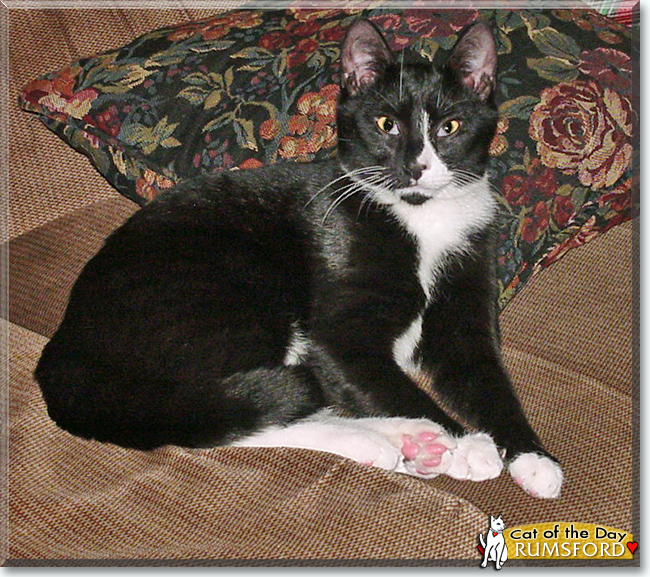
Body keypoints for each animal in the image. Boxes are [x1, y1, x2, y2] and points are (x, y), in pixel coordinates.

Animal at [35, 18, 560, 496]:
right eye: (386, 124)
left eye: (450, 126)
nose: (416, 166)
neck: (421, 219)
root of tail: (64, 349)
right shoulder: (336, 334)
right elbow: (387, 383)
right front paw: (467, 444)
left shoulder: (467, 294)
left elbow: (489, 381)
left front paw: (534, 458)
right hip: (229, 288)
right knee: (223, 412)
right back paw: (413, 437)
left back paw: (396, 444)